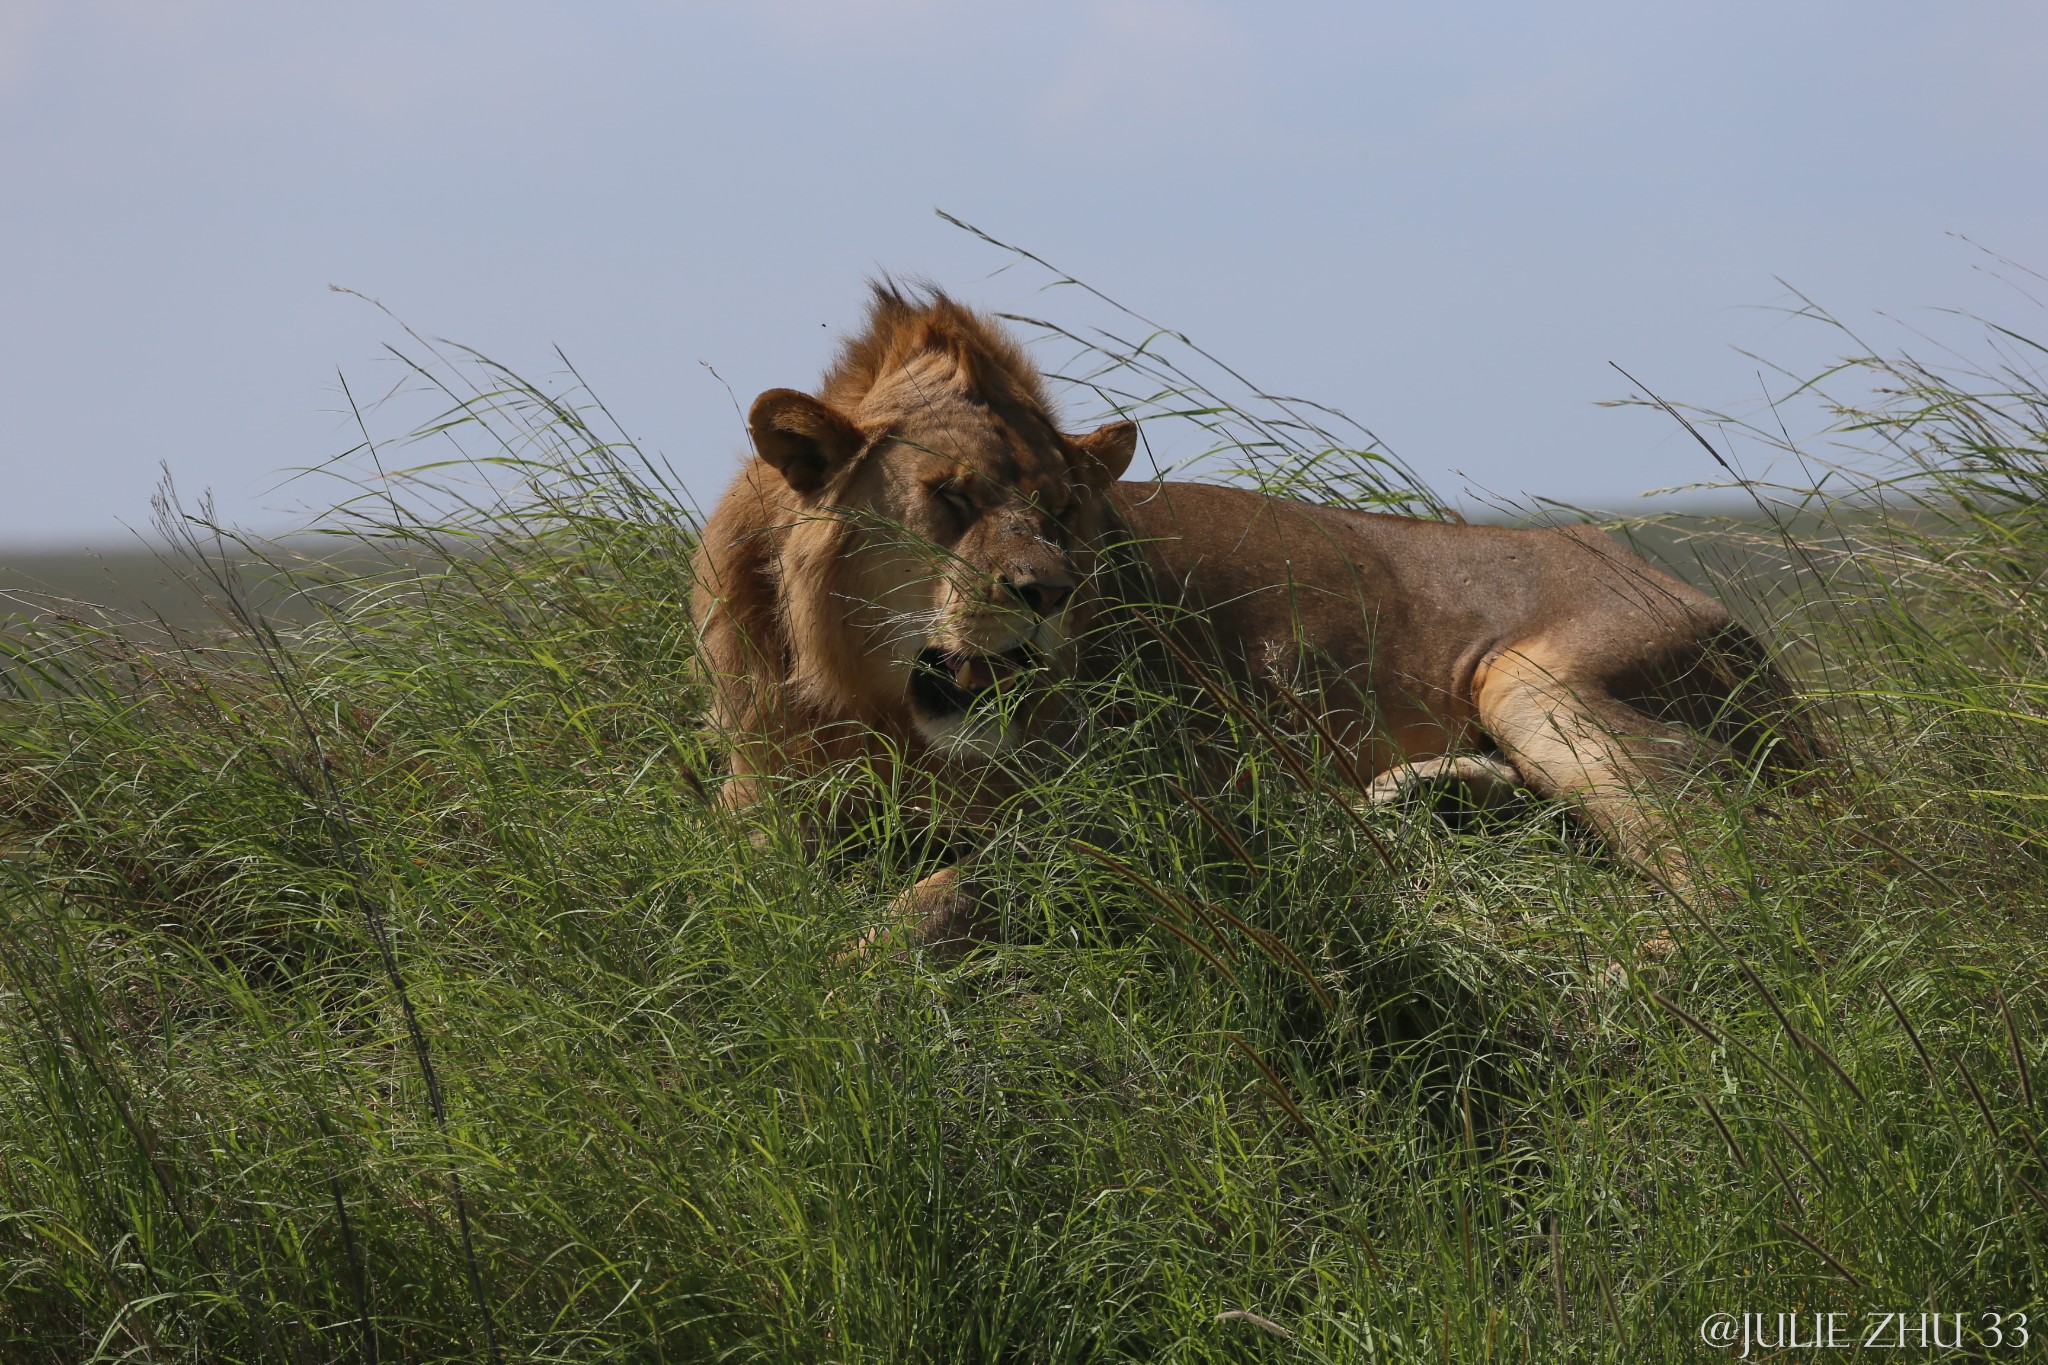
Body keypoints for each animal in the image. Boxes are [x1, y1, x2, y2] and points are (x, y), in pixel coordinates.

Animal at [692, 286, 1826, 949]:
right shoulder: (758, 803)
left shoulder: (1159, 810)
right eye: (952, 499)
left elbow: (950, 888)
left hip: (1539, 679)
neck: (874, 706)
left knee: (1745, 894)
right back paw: (1422, 801)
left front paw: (851, 967)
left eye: (1061, 514)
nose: (1047, 592)